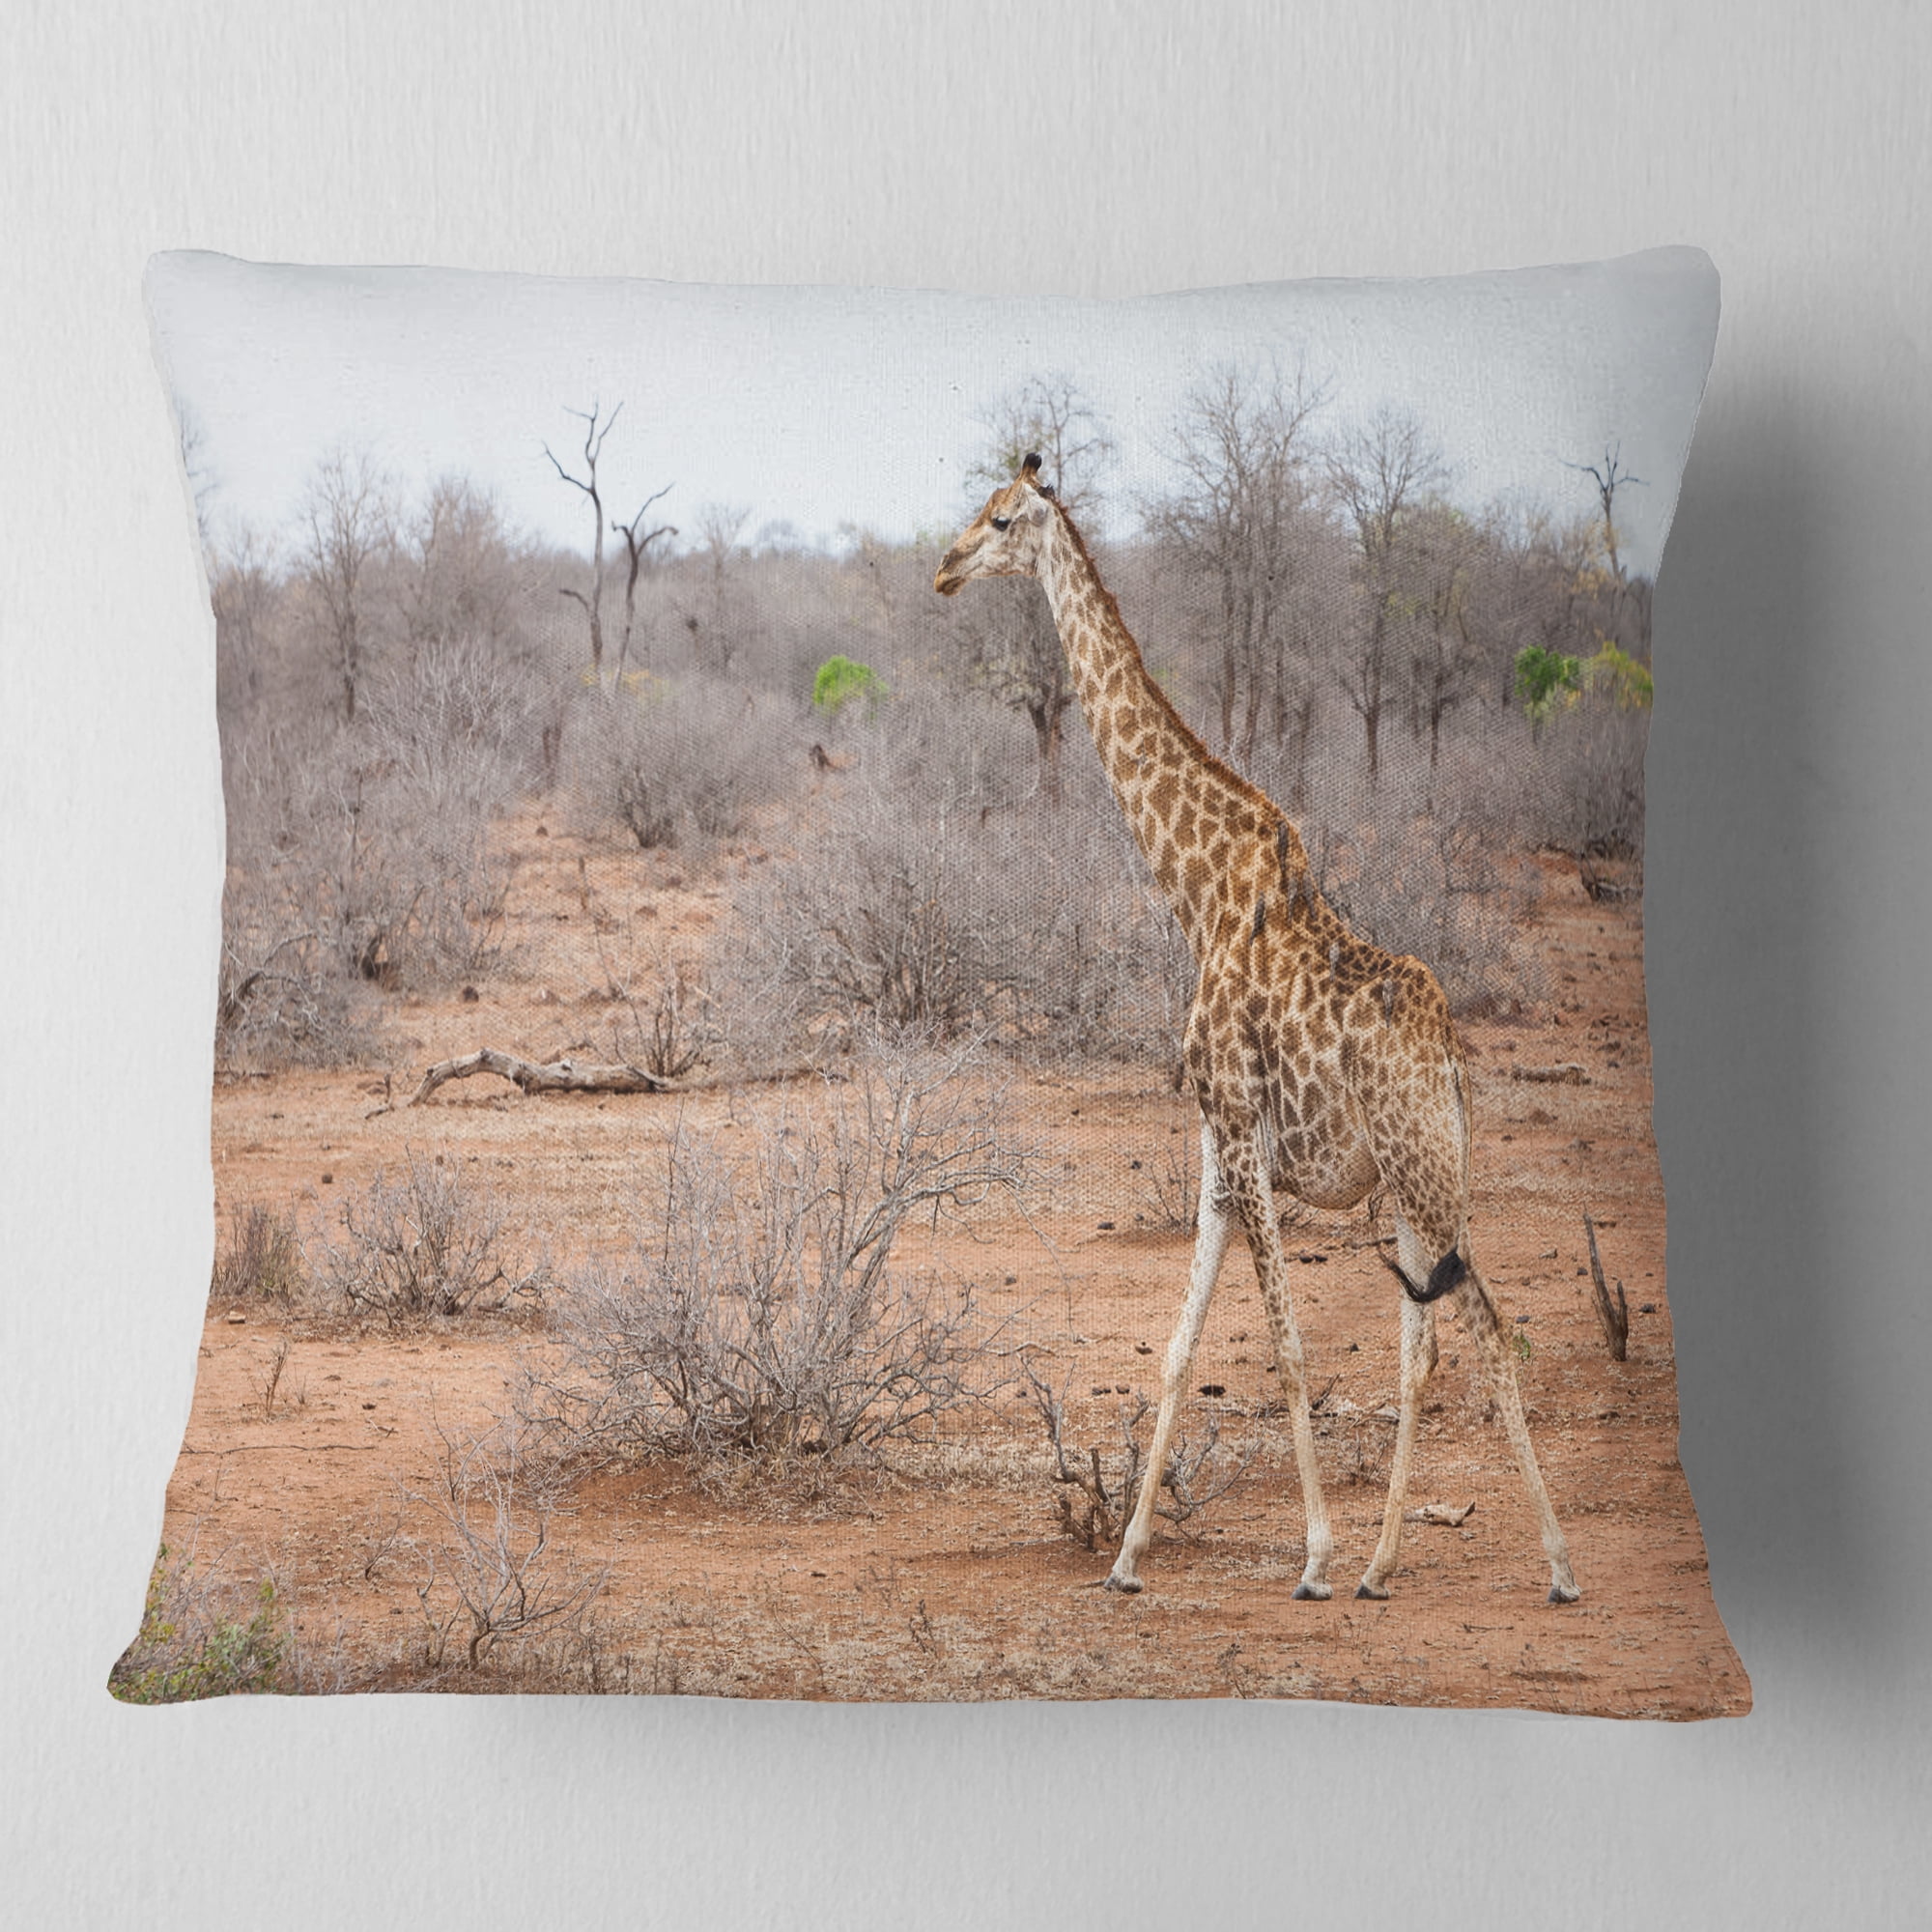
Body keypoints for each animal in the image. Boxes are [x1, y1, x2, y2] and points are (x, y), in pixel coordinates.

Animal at [935, 454, 1579, 1605]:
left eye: (1002, 519)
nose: (944, 567)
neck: (1191, 893)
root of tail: (1452, 1061)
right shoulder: (1214, 1146)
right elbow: (1177, 1348)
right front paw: (1125, 1557)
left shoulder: (1241, 1134)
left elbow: (1285, 1348)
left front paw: (1310, 1555)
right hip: (1416, 1182)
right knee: (1424, 1348)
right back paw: (1382, 1564)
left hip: (1425, 1174)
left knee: (1494, 1337)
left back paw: (1546, 1566)